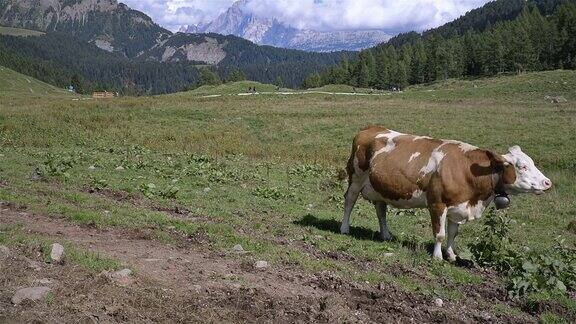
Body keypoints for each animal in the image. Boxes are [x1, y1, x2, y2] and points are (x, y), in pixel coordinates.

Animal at [340, 126, 552, 260]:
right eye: (522, 166)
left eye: (532, 162)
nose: (547, 182)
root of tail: (371, 128)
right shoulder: (437, 204)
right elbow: (440, 234)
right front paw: (437, 256)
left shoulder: (458, 206)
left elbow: (453, 233)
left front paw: (451, 255)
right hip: (356, 178)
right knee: (349, 201)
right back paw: (344, 228)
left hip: (381, 187)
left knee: (381, 210)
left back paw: (385, 234)